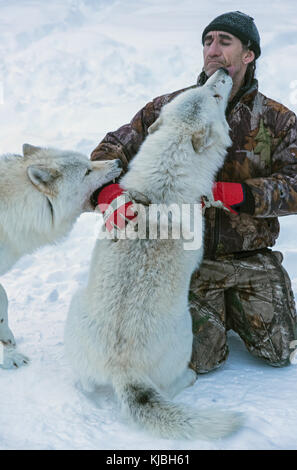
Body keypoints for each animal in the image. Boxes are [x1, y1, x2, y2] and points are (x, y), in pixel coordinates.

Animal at [64, 70, 240, 440]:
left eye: (206, 88)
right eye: (213, 95)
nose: (221, 73)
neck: (165, 184)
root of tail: (123, 368)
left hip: (76, 305)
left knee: (85, 383)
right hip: (186, 327)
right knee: (171, 386)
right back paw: (189, 377)